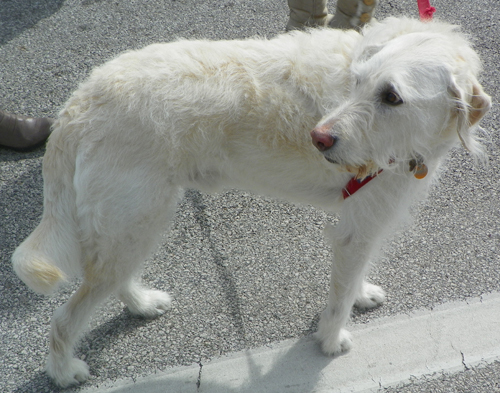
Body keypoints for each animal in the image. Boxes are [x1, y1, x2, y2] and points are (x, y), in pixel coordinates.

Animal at [9, 16, 490, 384]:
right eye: (358, 82)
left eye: (391, 96)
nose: (318, 138)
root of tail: (76, 105)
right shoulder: (357, 228)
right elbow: (338, 297)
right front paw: (331, 341)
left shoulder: (366, 221)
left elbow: (353, 278)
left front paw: (362, 293)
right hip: (138, 217)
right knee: (65, 317)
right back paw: (64, 371)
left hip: (135, 222)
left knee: (112, 274)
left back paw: (141, 304)